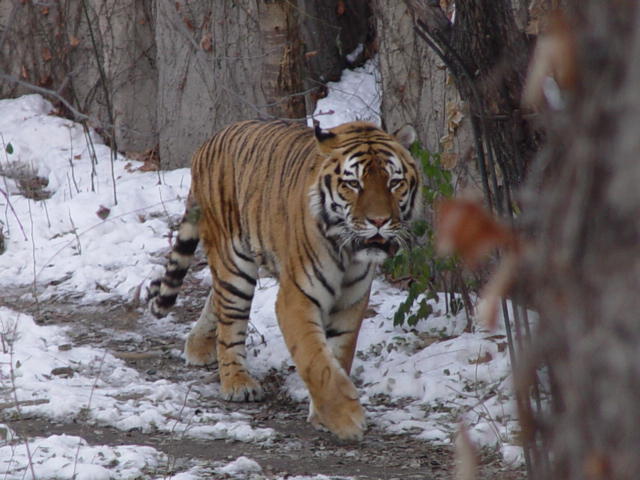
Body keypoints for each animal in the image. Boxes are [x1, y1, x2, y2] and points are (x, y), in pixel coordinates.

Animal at [148, 118, 422, 440]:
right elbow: (317, 362)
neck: (348, 252)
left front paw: (324, 414)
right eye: (354, 184)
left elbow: (338, 355)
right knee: (230, 320)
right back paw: (237, 382)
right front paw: (346, 419)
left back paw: (198, 347)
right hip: (234, 261)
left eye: (394, 183)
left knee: (215, 297)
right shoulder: (297, 299)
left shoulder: (352, 301)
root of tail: (208, 143)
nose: (378, 221)